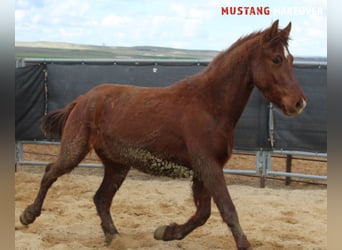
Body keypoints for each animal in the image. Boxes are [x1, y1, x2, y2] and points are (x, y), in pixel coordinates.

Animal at [20, 20, 306, 249]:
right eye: (276, 59)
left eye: (291, 59)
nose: (298, 103)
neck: (209, 104)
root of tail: (82, 99)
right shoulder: (208, 166)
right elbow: (226, 209)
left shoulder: (203, 171)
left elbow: (203, 213)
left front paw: (166, 232)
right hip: (75, 149)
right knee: (50, 172)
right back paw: (28, 215)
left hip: (117, 164)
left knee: (101, 198)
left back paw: (114, 237)